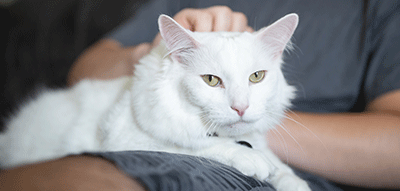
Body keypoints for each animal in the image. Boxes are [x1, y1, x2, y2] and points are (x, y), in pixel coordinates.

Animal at [0, 13, 310, 191]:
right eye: (211, 80)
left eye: (257, 77)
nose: (241, 108)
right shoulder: (130, 139)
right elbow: (193, 146)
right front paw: (248, 157)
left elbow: (278, 163)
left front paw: (290, 180)